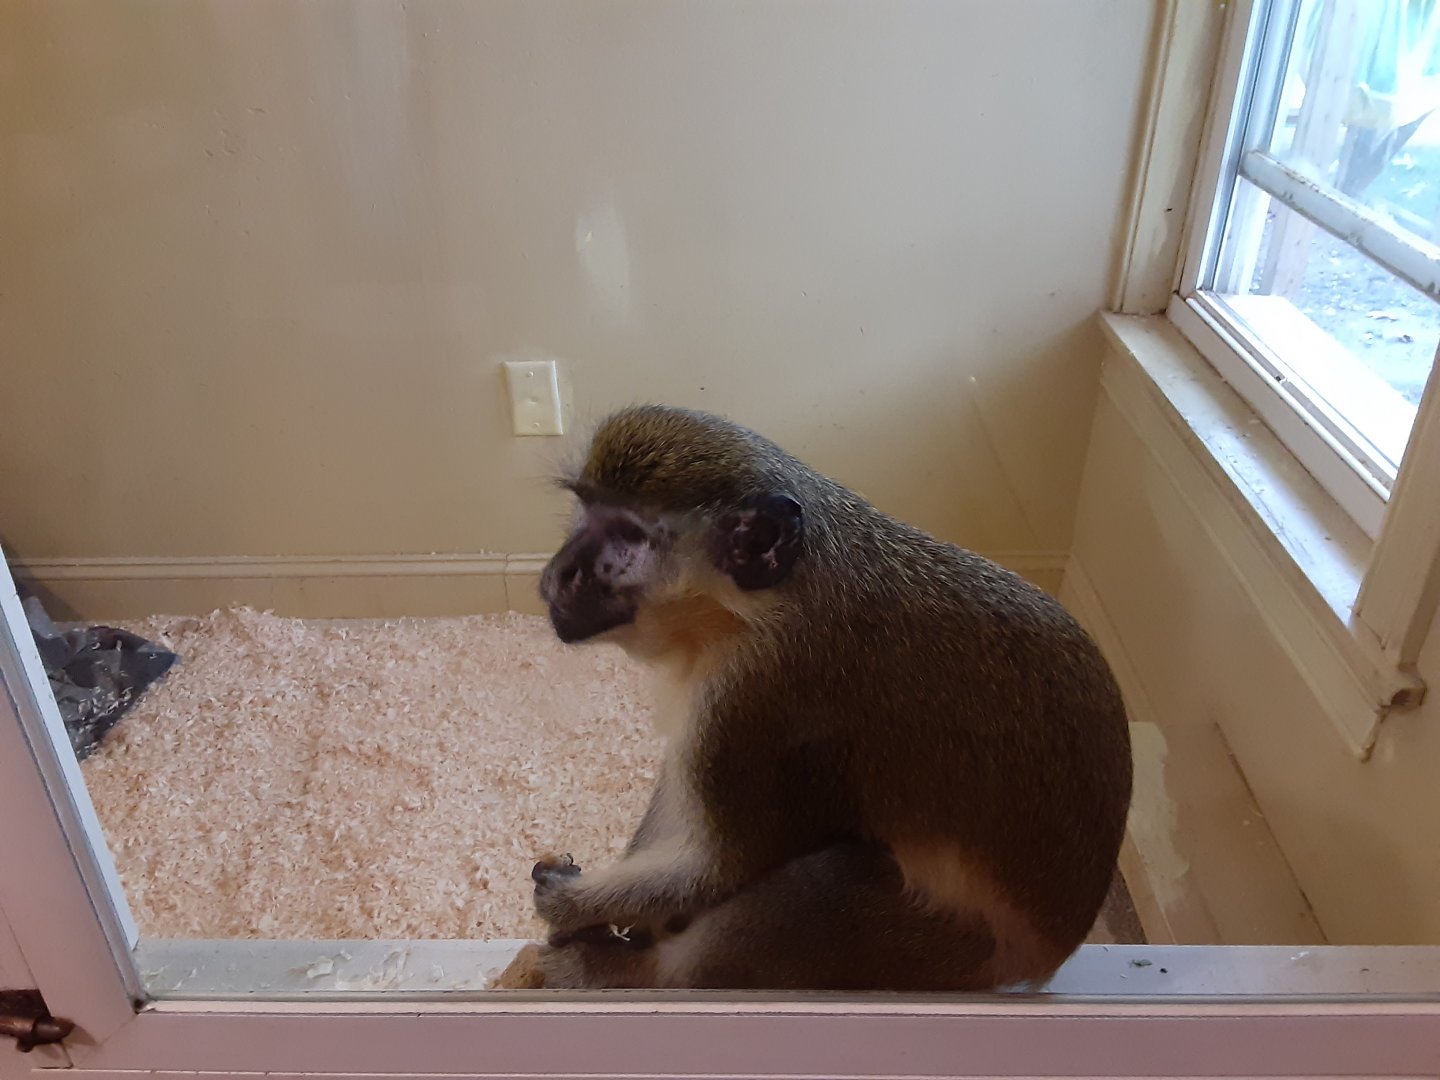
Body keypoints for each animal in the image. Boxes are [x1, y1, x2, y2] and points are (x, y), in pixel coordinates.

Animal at [526, 404, 1132, 992]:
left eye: (627, 535)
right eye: (586, 512)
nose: (558, 572)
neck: (754, 607)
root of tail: (1047, 957)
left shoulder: (757, 701)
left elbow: (721, 867)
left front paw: (572, 905)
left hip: (945, 953)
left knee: (826, 880)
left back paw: (641, 973)